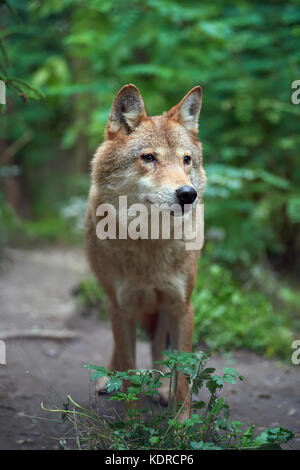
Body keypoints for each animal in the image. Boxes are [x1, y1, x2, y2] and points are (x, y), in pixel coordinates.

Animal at [84, 83, 206, 418]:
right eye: (149, 158)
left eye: (186, 160)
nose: (188, 194)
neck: (151, 240)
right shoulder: (122, 306)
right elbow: (128, 368)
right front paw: (132, 422)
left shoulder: (182, 306)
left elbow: (181, 376)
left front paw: (181, 423)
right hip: (115, 302)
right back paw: (107, 380)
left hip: (161, 311)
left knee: (157, 350)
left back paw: (162, 389)